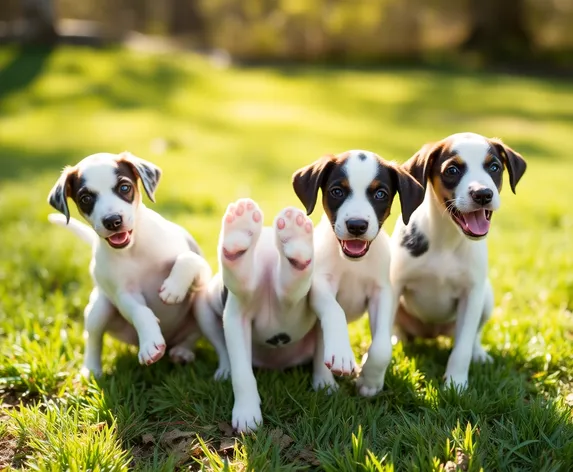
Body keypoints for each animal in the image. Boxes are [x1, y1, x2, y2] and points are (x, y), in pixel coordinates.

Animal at [47, 151, 229, 380]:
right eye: (86, 198)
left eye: (125, 188)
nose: (112, 221)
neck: (133, 250)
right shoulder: (124, 294)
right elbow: (140, 312)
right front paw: (150, 343)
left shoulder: (202, 269)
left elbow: (188, 259)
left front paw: (173, 289)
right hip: (99, 308)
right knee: (94, 339)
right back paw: (91, 370)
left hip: (201, 309)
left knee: (208, 339)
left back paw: (202, 359)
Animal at [292, 149, 422, 396]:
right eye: (337, 191)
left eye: (380, 194)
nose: (356, 225)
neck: (353, 263)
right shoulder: (321, 285)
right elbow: (335, 312)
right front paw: (342, 355)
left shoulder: (382, 293)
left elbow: (381, 347)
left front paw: (370, 381)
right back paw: (325, 383)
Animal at [388, 131, 528, 390]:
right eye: (452, 170)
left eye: (494, 167)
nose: (482, 194)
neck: (447, 239)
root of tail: (432, 333)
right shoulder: (394, 285)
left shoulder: (471, 295)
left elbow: (462, 348)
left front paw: (456, 384)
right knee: (396, 326)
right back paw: (398, 339)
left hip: (486, 297)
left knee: (473, 335)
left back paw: (479, 353)